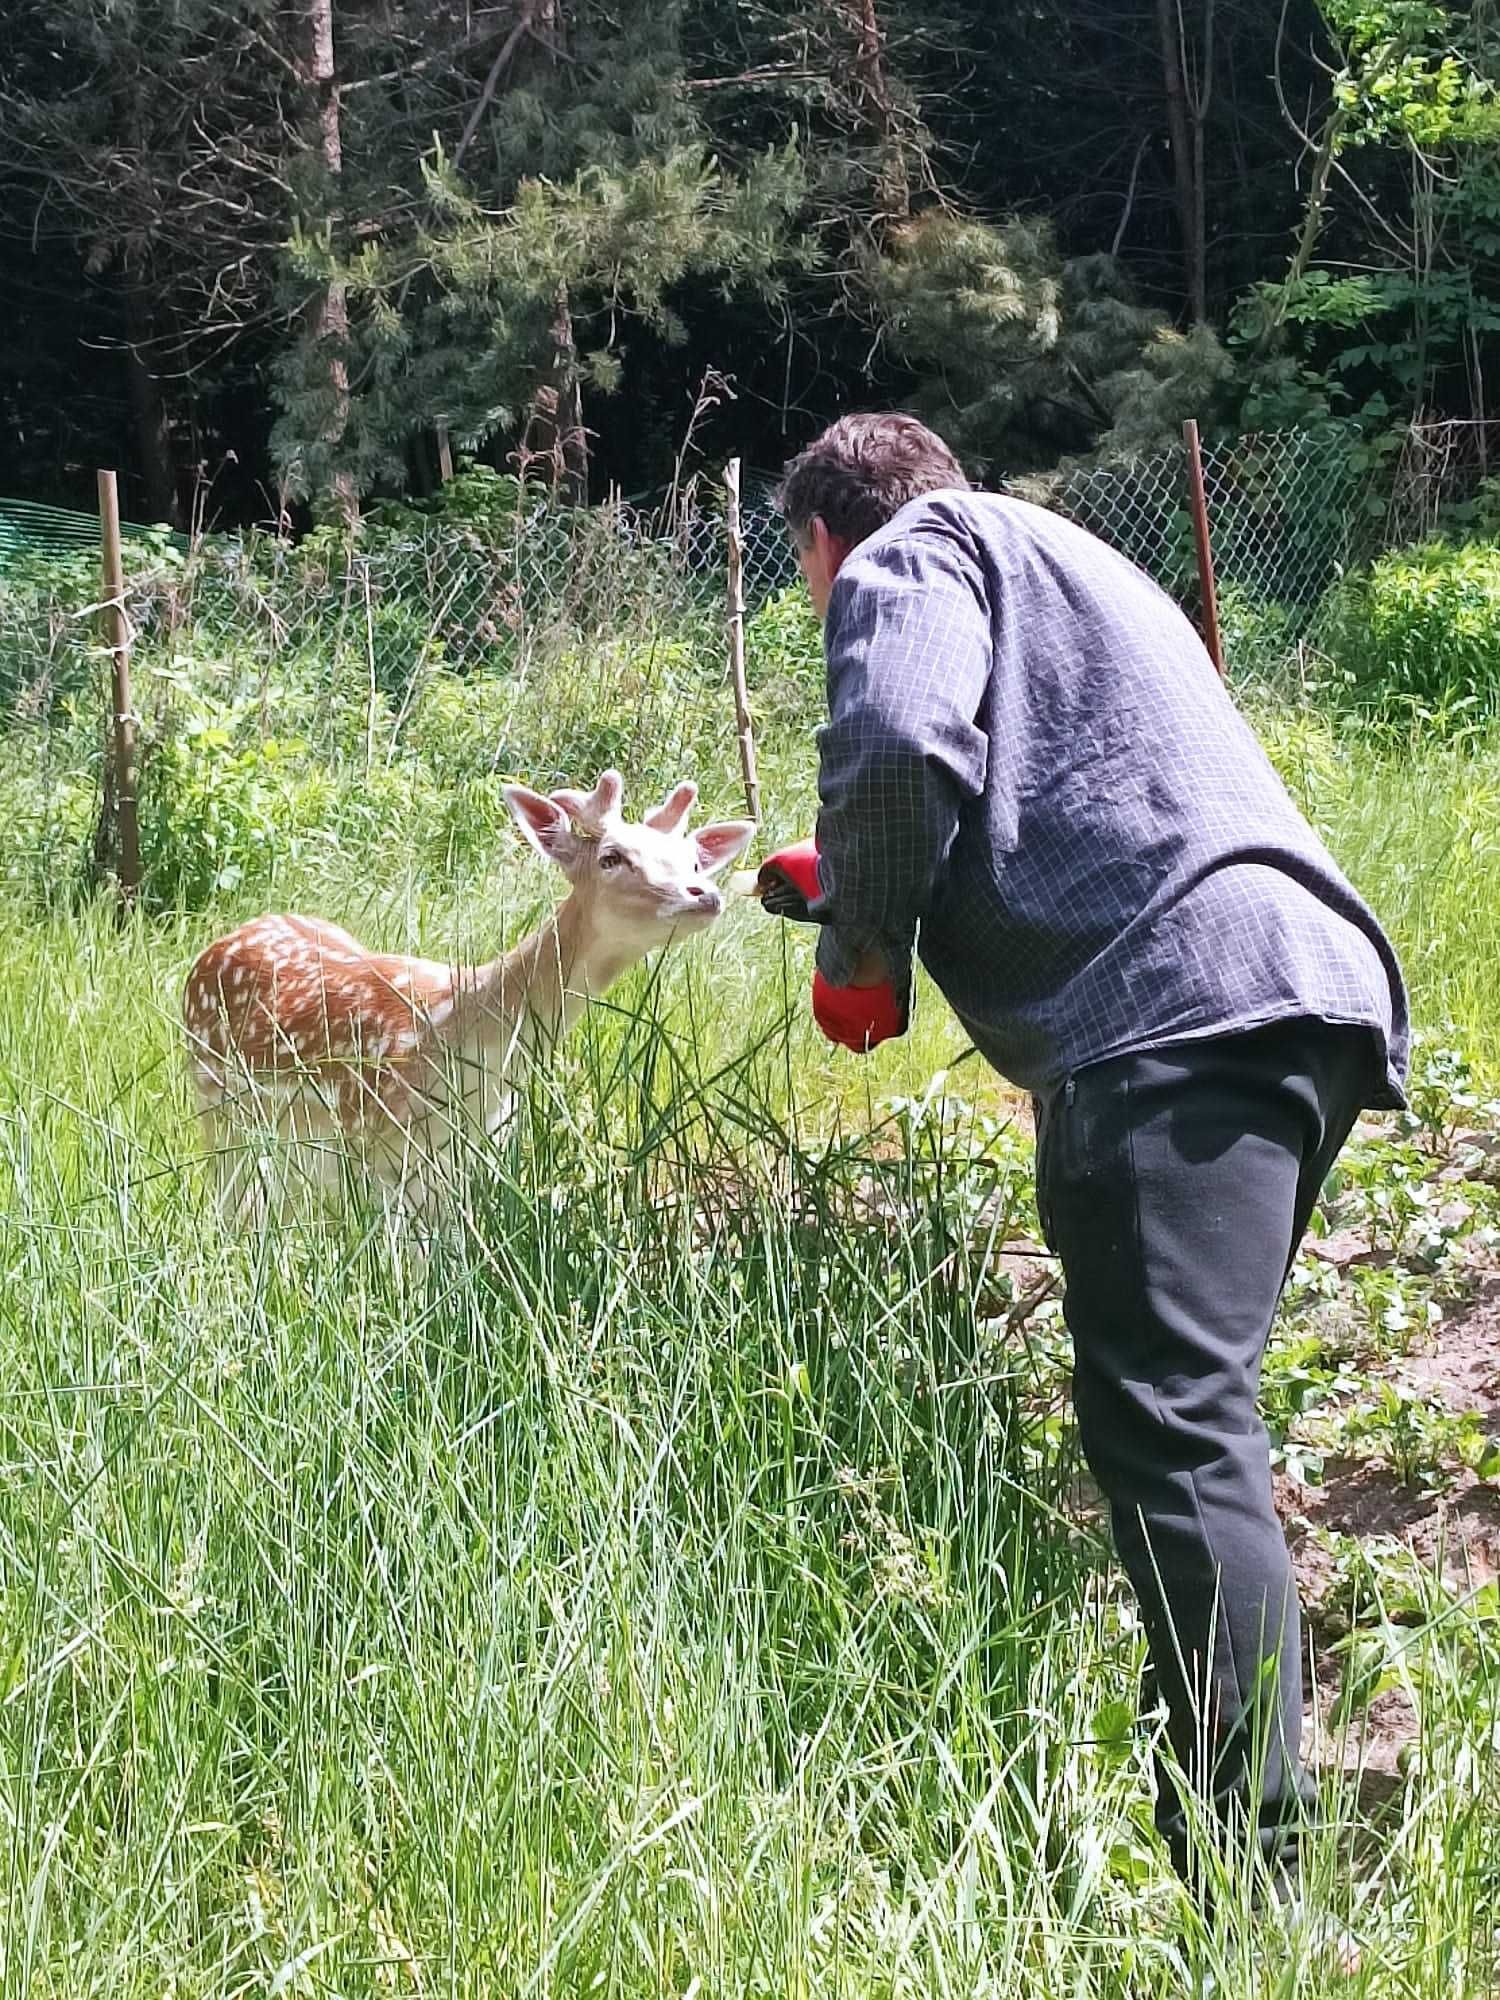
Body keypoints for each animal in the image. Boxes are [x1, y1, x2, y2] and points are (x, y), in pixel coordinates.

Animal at [182, 772, 756, 1224]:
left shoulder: (478, 1150)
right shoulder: (384, 1144)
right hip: (214, 1101)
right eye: (612, 857)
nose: (705, 895)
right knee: (229, 1203)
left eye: (694, 862)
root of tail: (217, 944)